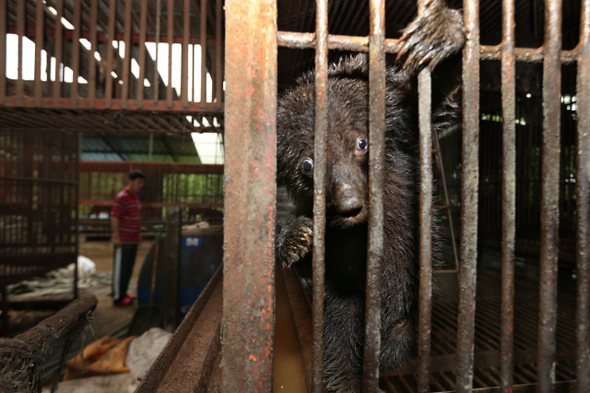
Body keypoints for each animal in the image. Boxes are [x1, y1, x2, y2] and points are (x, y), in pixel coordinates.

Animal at [278, 1, 468, 390]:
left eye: (362, 143)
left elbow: (437, 101)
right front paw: (294, 236)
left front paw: (440, 32)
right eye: (307, 164)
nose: (350, 204)